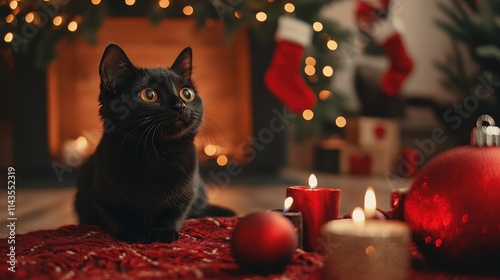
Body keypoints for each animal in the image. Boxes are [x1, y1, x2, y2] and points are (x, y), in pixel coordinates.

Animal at [75, 43, 235, 243]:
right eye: (149, 95)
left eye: (187, 93)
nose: (180, 105)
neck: (156, 151)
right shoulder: (98, 197)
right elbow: (116, 216)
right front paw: (133, 232)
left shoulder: (187, 194)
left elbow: (173, 213)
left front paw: (163, 232)